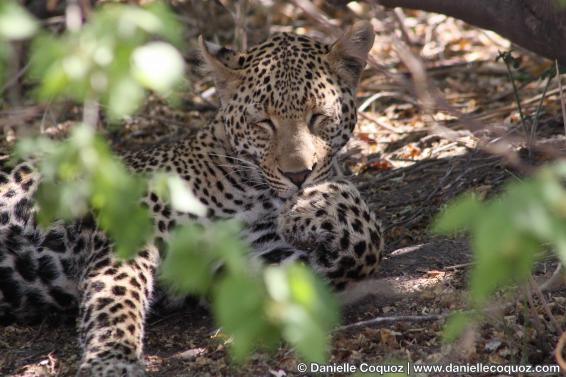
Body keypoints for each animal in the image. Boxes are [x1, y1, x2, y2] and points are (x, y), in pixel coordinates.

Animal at [0, 22, 386, 374]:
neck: (251, 190)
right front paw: (111, 361)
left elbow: (365, 246)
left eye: (318, 117)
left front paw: (313, 206)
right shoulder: (128, 236)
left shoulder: (252, 262)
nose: (298, 175)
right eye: (263, 122)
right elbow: (116, 298)